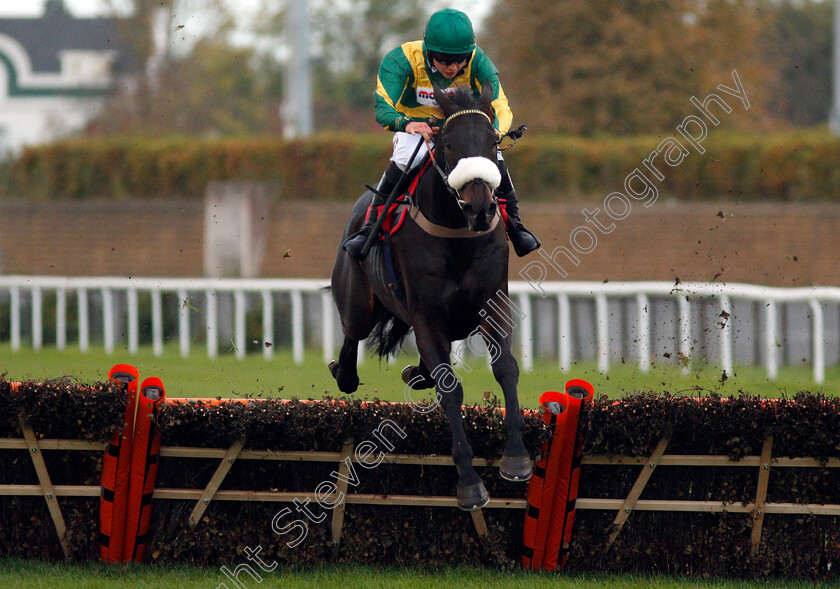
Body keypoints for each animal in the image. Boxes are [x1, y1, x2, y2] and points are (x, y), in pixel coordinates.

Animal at [330, 80, 532, 508]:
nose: (480, 209)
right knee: (352, 333)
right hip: (357, 299)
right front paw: (469, 482)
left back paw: (414, 372)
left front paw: (517, 458)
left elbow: (506, 368)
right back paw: (345, 371)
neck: (456, 234)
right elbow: (450, 389)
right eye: (450, 143)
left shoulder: (494, 307)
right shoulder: (427, 318)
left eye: (493, 142)